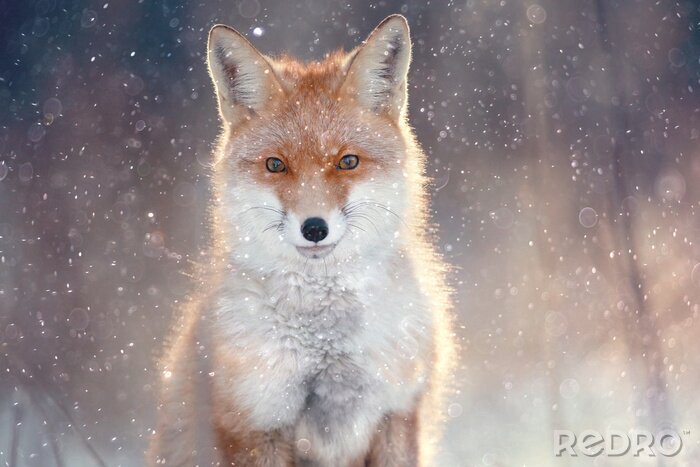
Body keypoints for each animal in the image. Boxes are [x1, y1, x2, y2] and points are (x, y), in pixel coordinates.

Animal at [148, 14, 456, 467]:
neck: (326, 344)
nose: (314, 228)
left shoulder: (397, 412)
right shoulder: (256, 421)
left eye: (348, 161)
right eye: (276, 165)